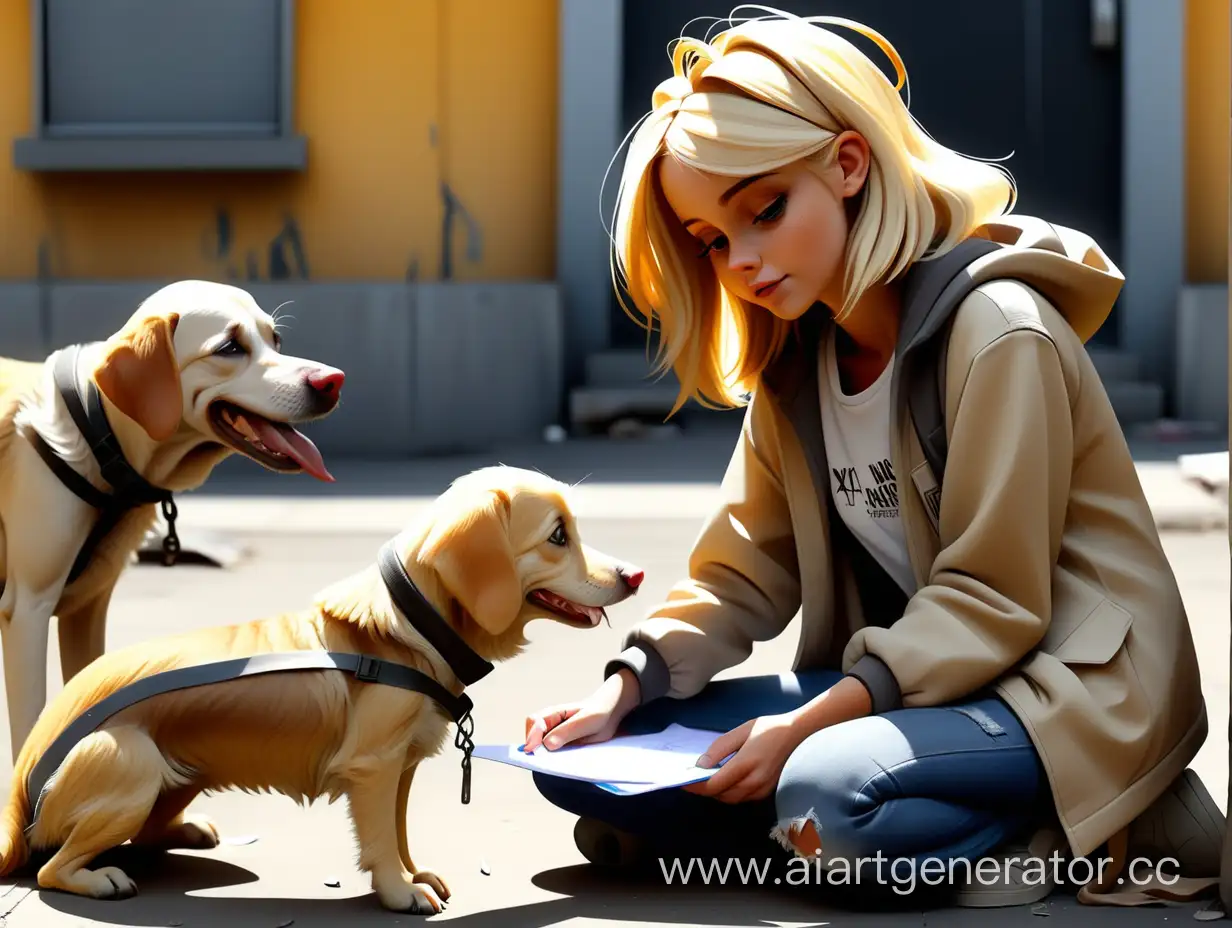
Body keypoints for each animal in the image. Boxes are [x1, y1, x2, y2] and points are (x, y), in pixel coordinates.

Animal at [0, 280, 344, 759]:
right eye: (230, 347)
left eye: (276, 340)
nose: (333, 381)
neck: (100, 433)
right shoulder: (27, 609)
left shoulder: (88, 608)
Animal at [0, 463, 650, 911]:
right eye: (558, 536)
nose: (636, 575)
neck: (411, 628)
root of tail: (23, 782)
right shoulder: (374, 764)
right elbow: (381, 837)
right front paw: (398, 892)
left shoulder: (400, 767)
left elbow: (399, 830)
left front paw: (413, 874)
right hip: (130, 760)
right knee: (49, 868)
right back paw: (98, 878)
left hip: (178, 771)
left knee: (145, 833)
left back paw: (184, 830)